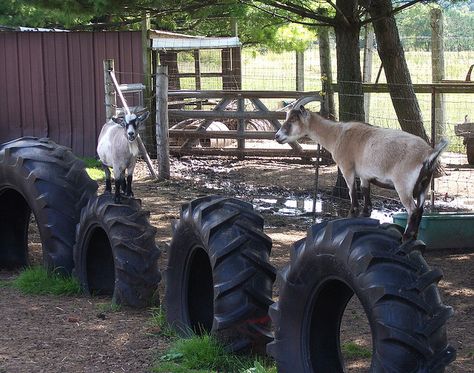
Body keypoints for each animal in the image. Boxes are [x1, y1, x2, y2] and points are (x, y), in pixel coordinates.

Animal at [274, 105, 448, 238]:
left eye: (293, 120)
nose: (277, 136)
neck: (337, 134)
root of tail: (428, 154)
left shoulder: (347, 168)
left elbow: (353, 194)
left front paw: (351, 214)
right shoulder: (365, 175)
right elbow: (366, 197)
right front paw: (365, 215)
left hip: (403, 185)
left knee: (412, 210)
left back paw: (405, 238)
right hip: (424, 185)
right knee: (420, 210)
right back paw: (413, 238)